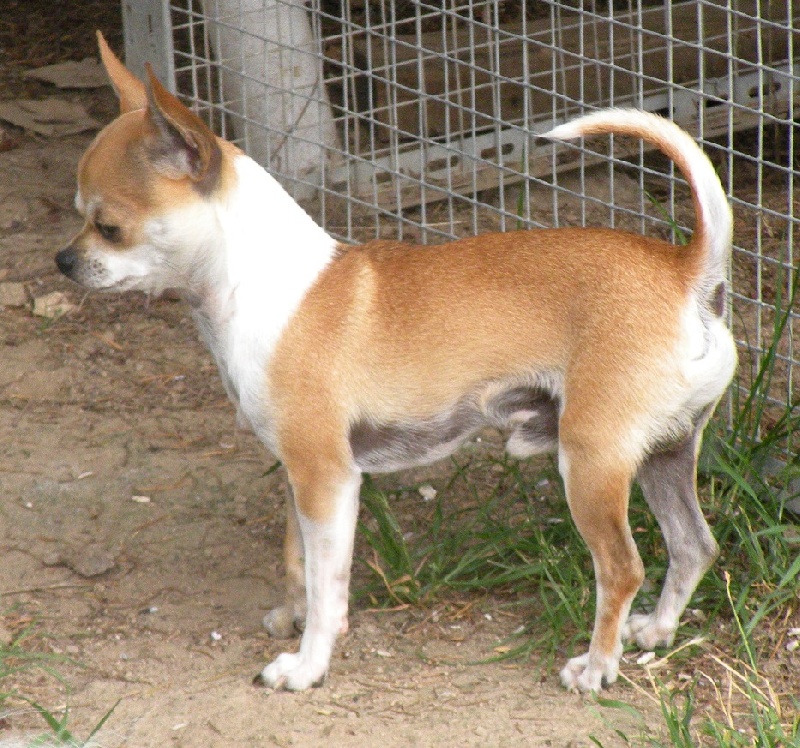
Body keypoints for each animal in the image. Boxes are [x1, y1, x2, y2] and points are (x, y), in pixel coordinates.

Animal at [56, 32, 737, 693]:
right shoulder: (299, 476)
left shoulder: (328, 479)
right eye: (78, 216)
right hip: (665, 456)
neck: (249, 284)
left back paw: (597, 668)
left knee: (621, 568)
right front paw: (292, 617)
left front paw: (307, 666)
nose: (63, 260)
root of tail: (685, 271)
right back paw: (655, 631)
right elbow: (297, 562)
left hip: (591, 462)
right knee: (694, 546)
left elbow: (328, 590)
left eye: (109, 227)